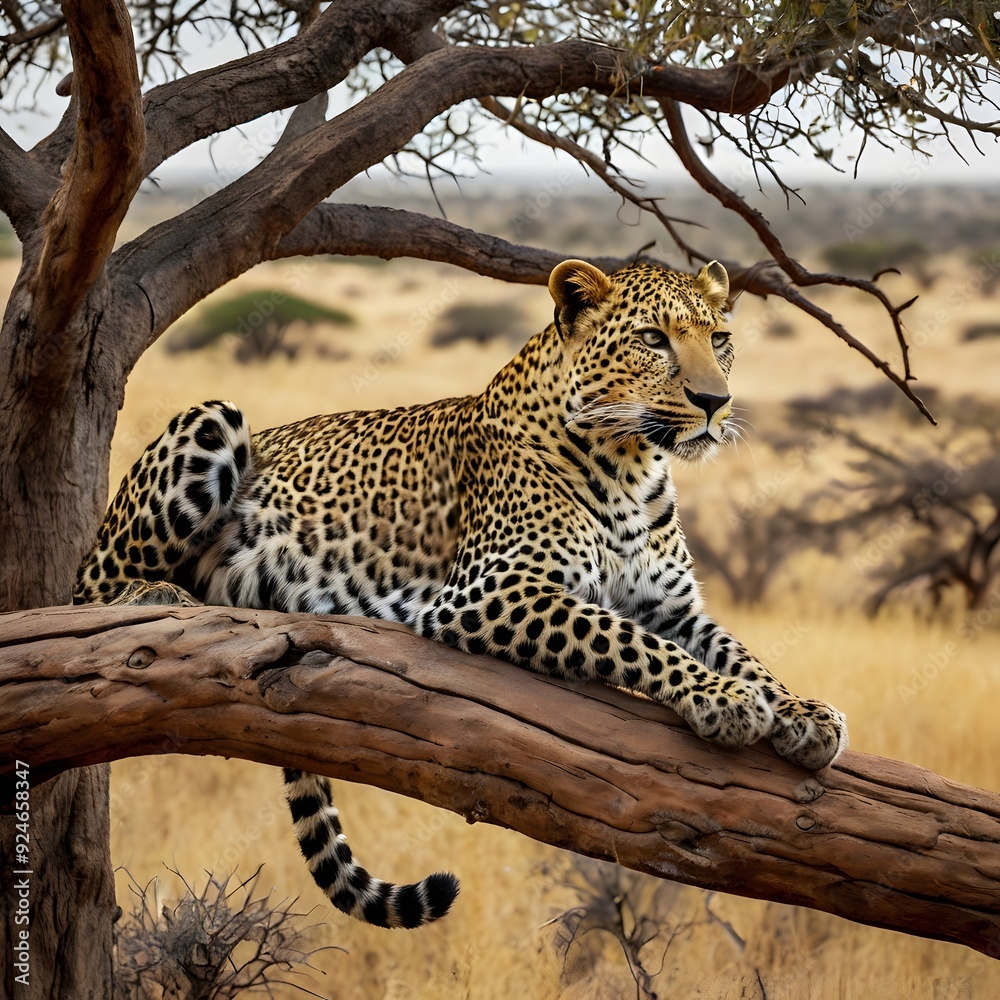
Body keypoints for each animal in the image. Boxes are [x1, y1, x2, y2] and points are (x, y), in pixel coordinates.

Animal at [75, 258, 848, 930]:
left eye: (719, 339)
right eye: (653, 339)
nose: (715, 402)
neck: (634, 466)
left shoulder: (676, 606)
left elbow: (737, 650)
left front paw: (804, 714)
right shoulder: (491, 590)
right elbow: (631, 641)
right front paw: (725, 701)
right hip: (211, 420)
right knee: (88, 587)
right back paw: (154, 595)